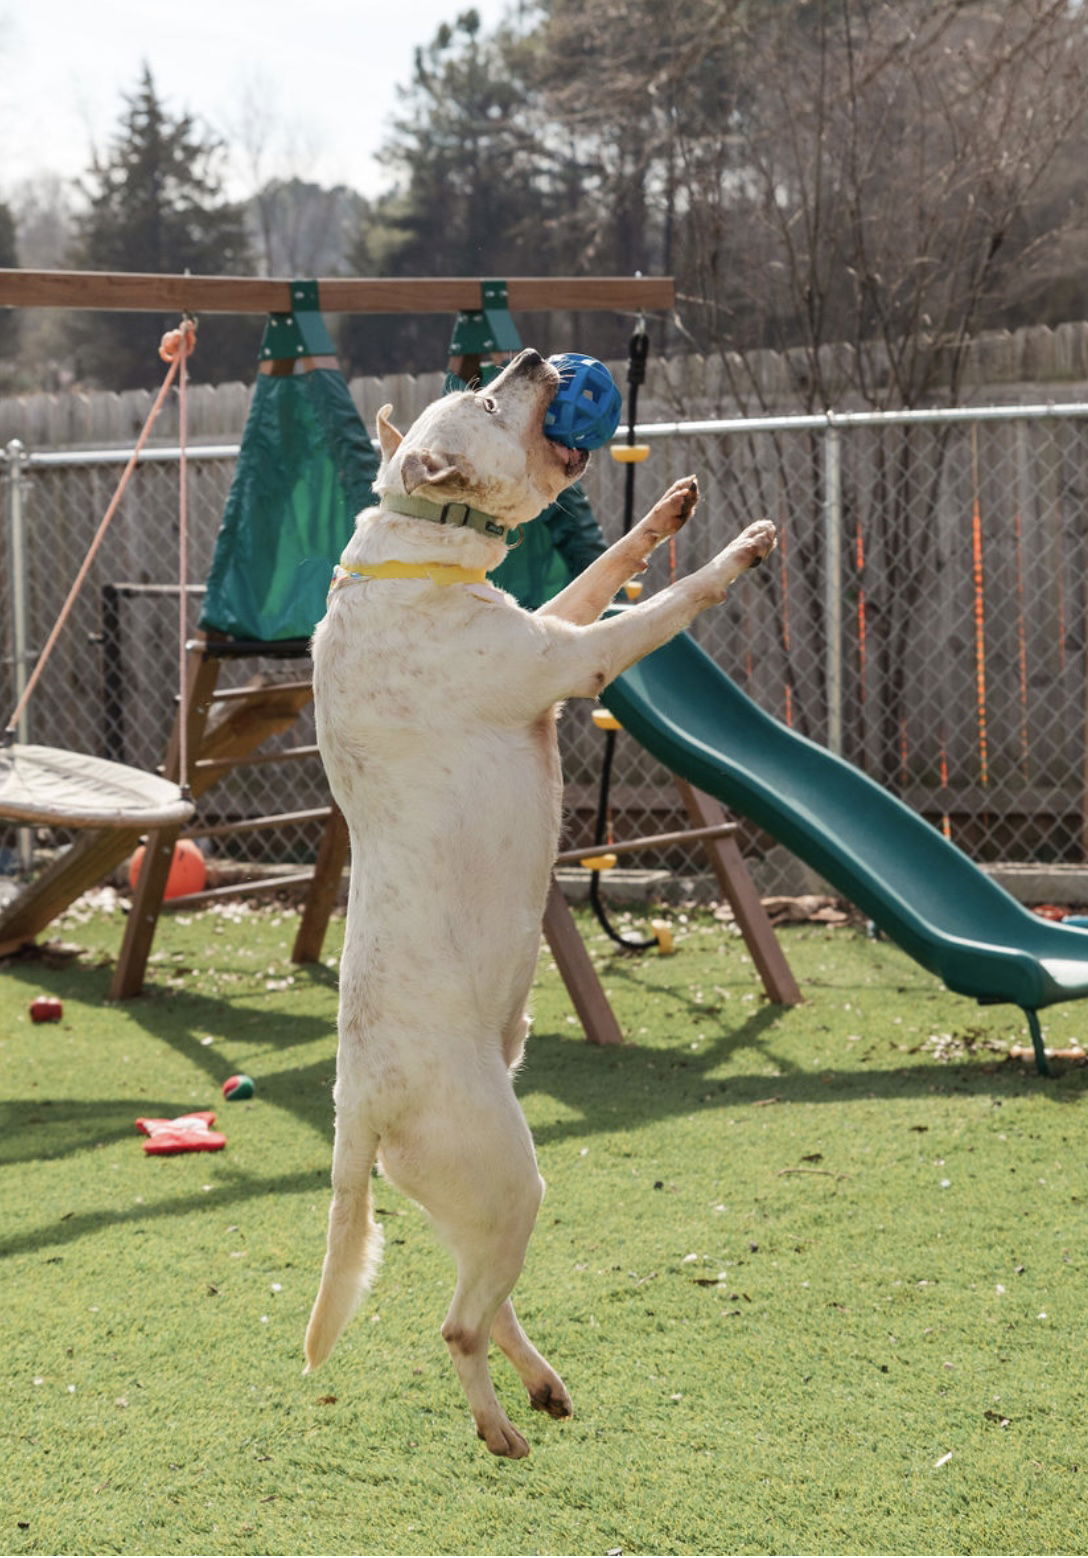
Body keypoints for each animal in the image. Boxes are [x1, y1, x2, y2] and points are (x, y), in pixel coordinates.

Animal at [302, 347, 770, 1452]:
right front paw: (736, 550)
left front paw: (668, 509)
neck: (418, 547)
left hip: (476, 1200)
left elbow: (599, 577)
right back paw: (499, 1427)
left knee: (488, 1295)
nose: (528, 357)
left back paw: (542, 1384)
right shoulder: (573, 659)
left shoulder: (549, 629)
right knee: (458, 1323)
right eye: (484, 399)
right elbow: (658, 608)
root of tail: (357, 1108)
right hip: (507, 1174)